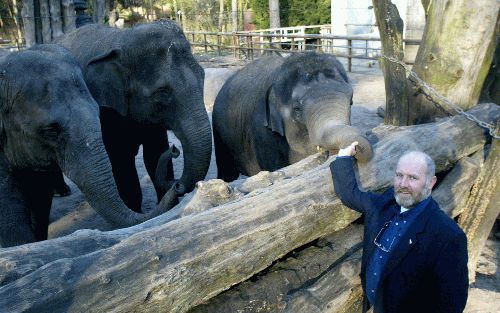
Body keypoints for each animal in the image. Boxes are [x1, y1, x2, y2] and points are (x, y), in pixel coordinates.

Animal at [56, 19, 213, 212]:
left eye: (203, 76)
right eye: (162, 92)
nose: (175, 149)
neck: (122, 38)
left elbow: (154, 154)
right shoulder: (105, 112)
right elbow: (122, 161)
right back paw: (63, 192)